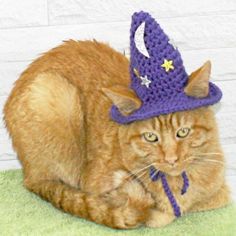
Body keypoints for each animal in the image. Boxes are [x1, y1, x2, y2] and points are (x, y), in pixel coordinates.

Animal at [2, 40, 230, 229]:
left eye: (183, 132)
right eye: (151, 137)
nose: (171, 159)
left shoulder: (222, 192)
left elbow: (210, 200)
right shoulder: (96, 184)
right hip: (51, 95)